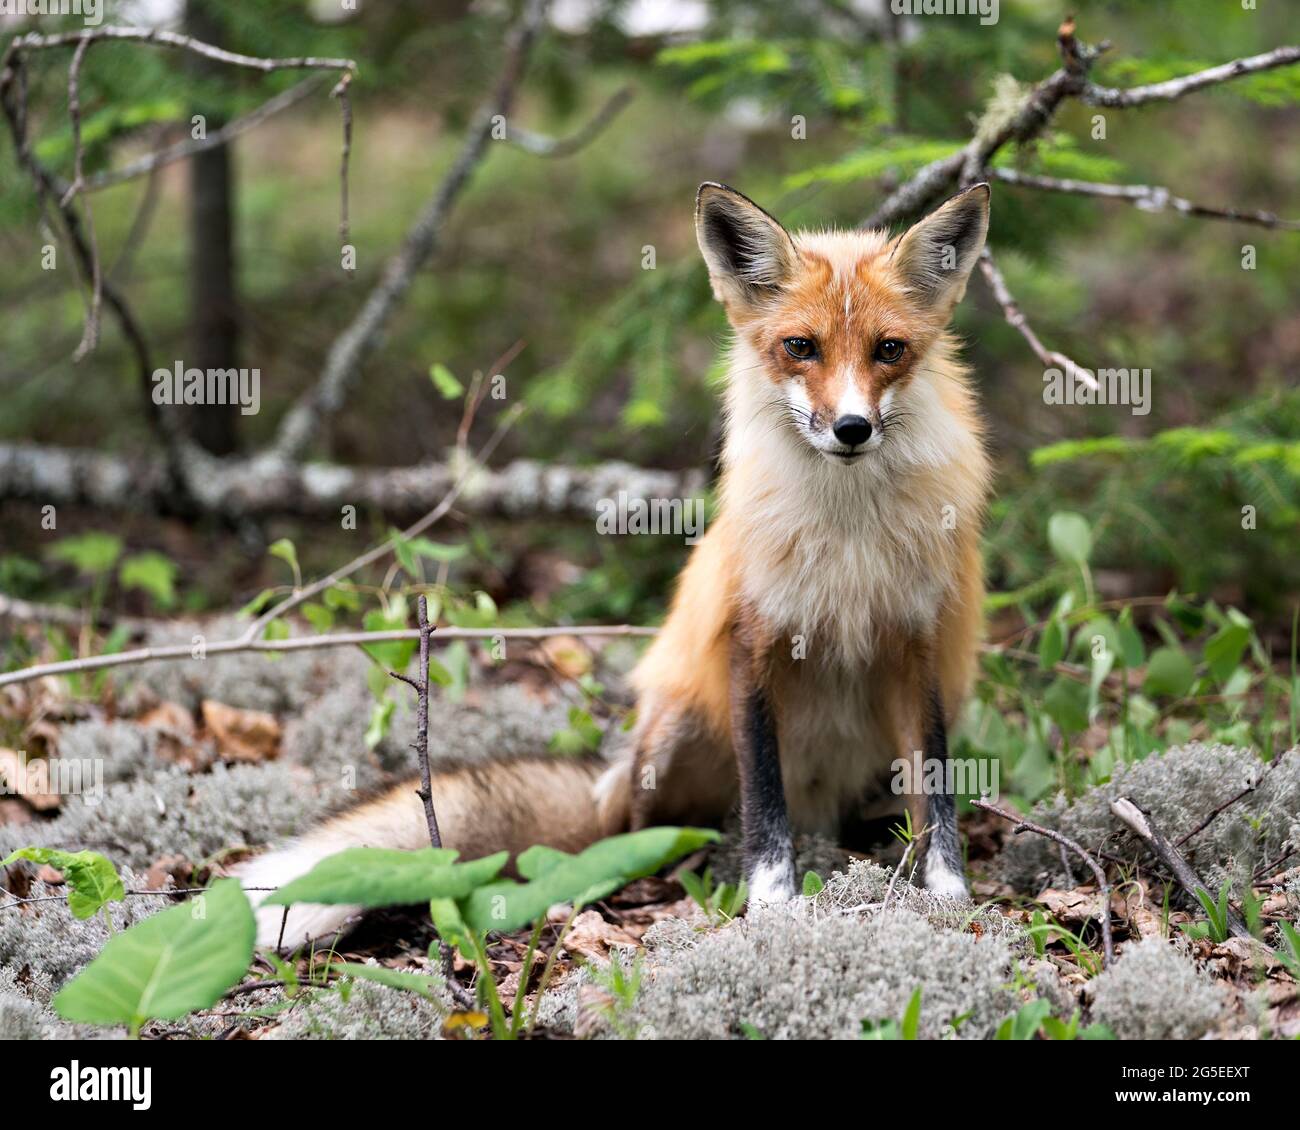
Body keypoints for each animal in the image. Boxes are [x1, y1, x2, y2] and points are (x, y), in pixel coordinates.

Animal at [239, 180, 987, 946]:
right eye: (800, 347)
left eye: (889, 349)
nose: (851, 429)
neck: (848, 535)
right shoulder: (753, 640)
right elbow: (764, 801)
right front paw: (772, 904)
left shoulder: (918, 644)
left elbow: (937, 791)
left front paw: (949, 897)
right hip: (670, 740)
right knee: (651, 831)